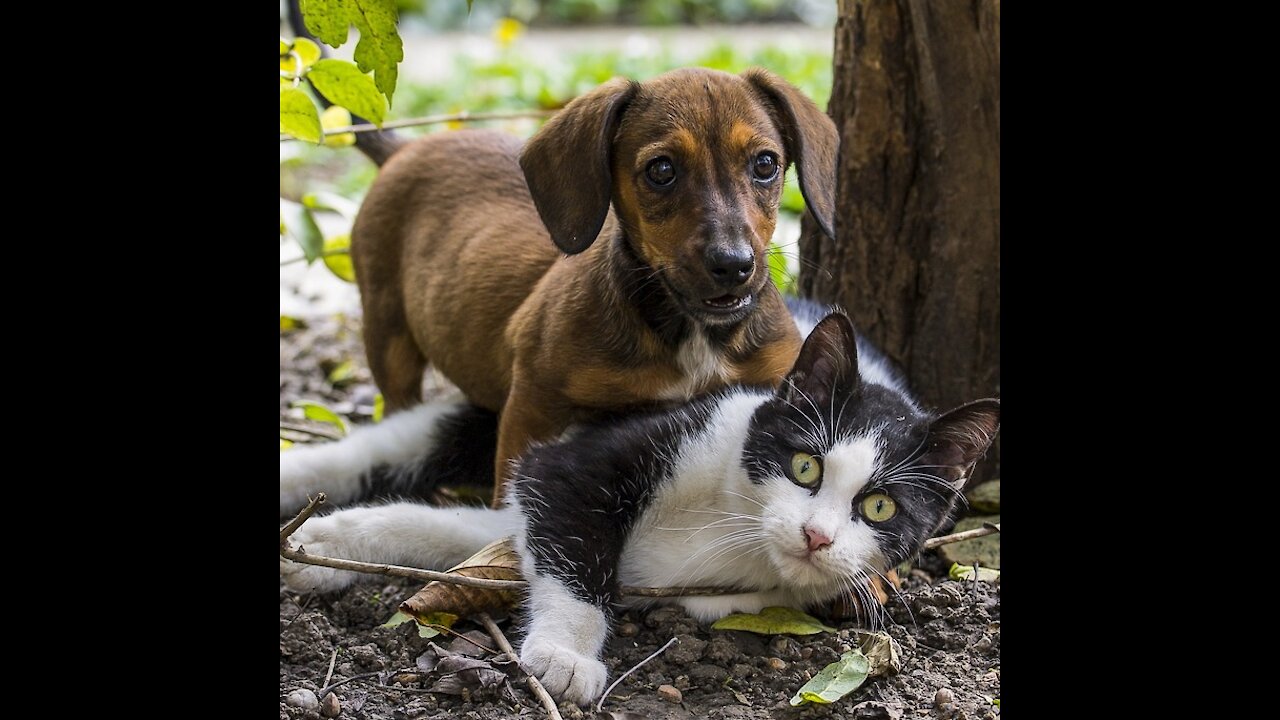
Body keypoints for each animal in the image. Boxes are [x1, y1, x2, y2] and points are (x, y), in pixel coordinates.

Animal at [280, 302, 998, 702]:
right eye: (805, 466)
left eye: (880, 509)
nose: (817, 536)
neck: (732, 523)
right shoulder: (589, 457)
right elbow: (570, 534)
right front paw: (567, 656)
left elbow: (467, 532)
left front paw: (328, 545)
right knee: (397, 441)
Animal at [340, 67, 839, 499]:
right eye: (661, 170)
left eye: (765, 164)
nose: (733, 265)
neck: (691, 334)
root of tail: (404, 149)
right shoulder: (533, 403)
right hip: (388, 334)